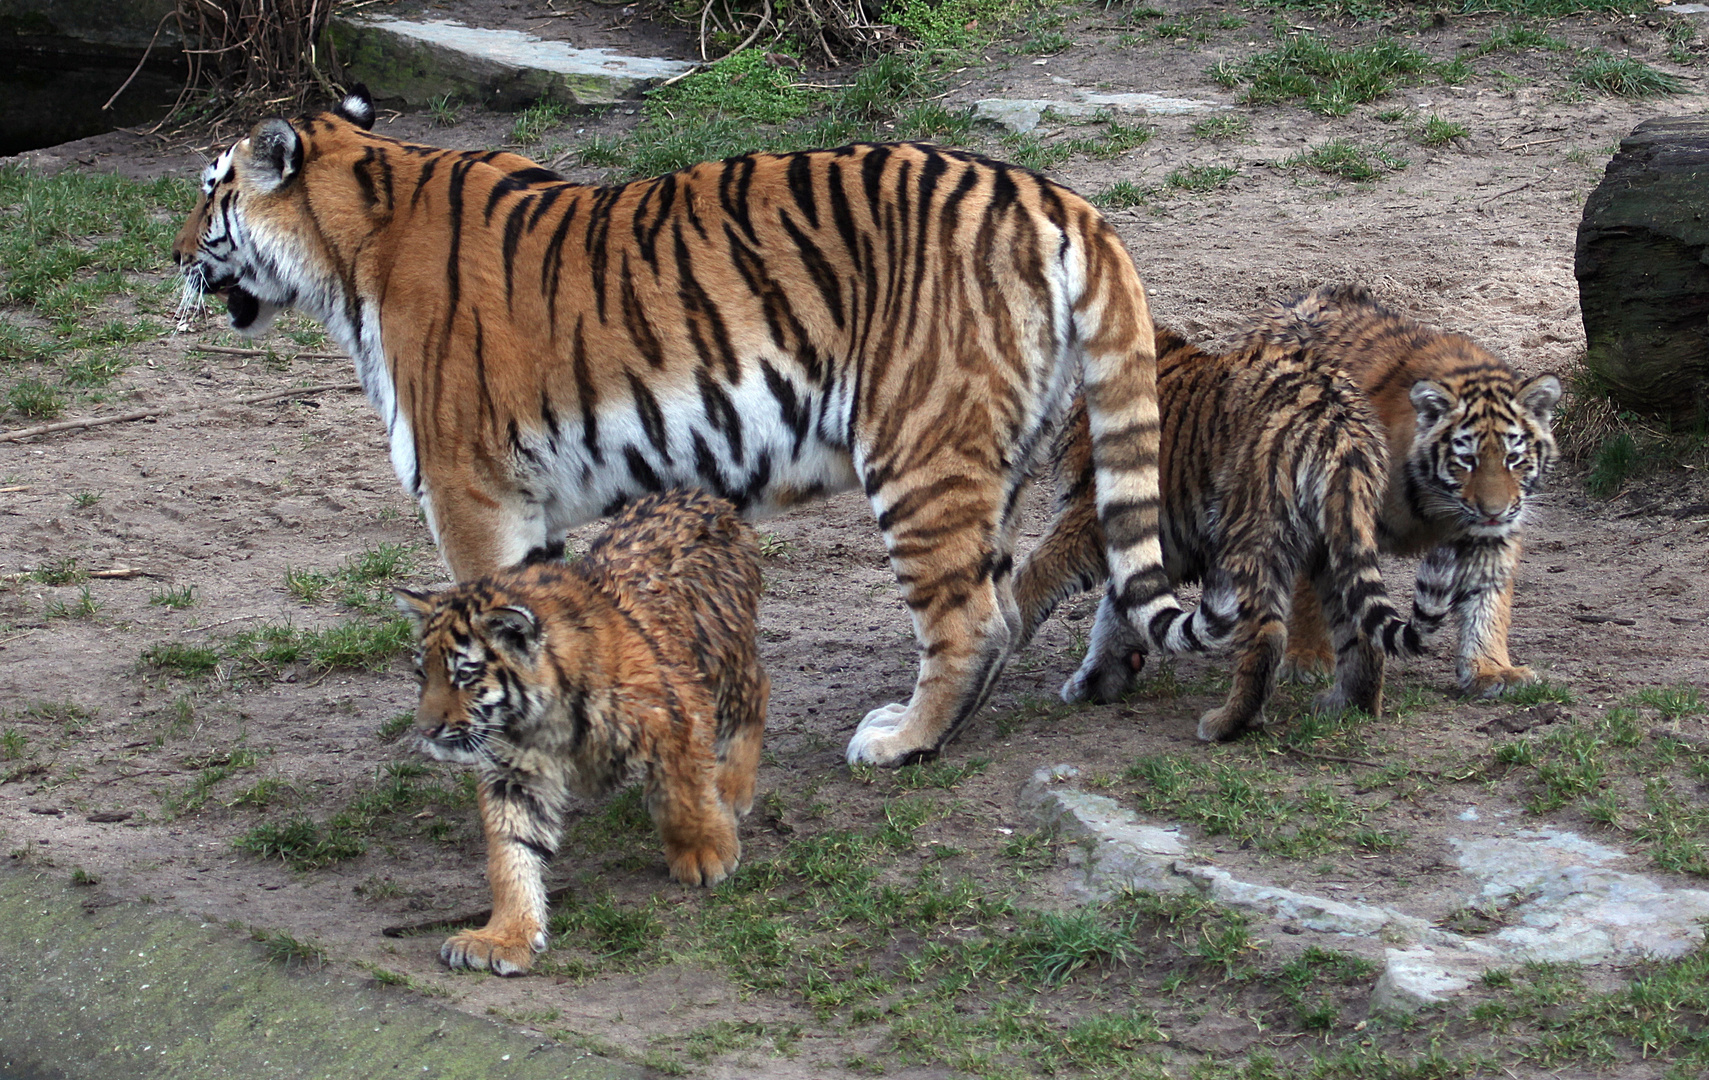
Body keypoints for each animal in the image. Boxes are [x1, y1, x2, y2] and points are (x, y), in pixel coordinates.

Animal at [170, 88, 1230, 762]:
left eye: (210, 188)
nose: (172, 252)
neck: (350, 236)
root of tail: (1056, 195)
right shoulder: (524, 503)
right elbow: (547, 628)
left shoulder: (472, 493)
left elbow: (484, 631)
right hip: (1001, 454)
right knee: (1006, 605)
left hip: (919, 452)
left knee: (970, 621)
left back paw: (900, 745)